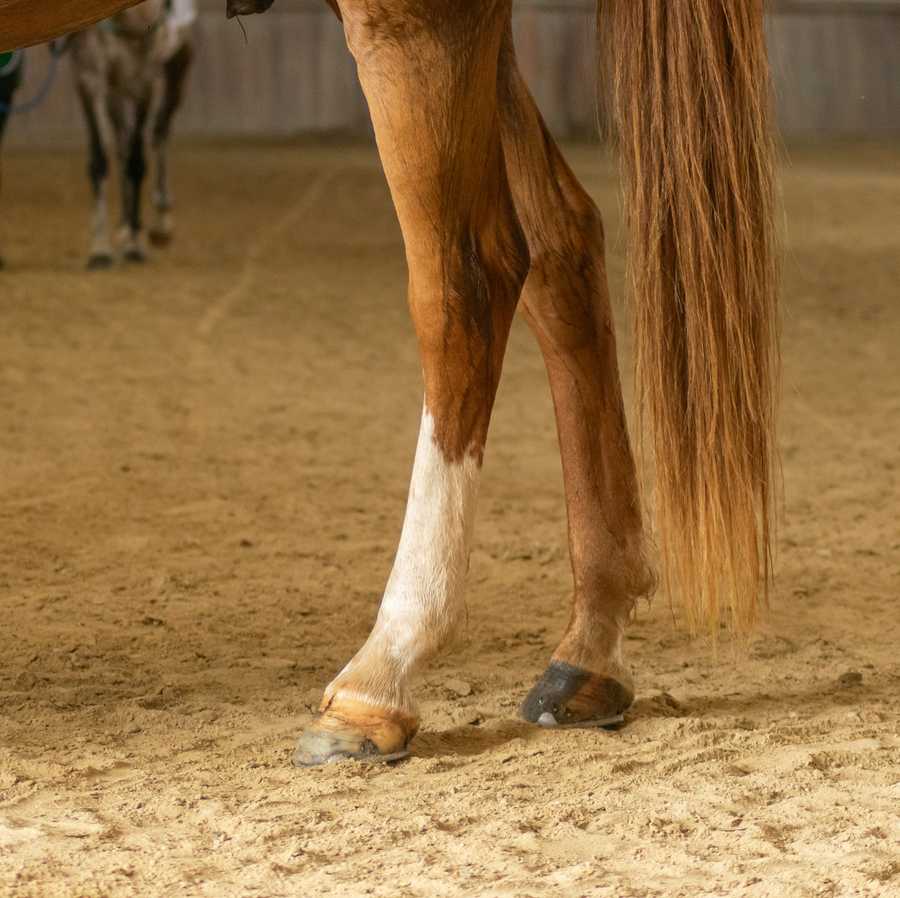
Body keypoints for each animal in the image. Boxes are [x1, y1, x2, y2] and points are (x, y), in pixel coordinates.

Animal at [69, 0, 195, 268]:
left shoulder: (144, 82)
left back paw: (162, 222)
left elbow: (137, 163)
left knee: (159, 132)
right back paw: (125, 224)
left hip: (178, 69)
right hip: (115, 89)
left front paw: (134, 246)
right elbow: (99, 161)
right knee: (122, 144)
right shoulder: (89, 77)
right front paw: (100, 249)